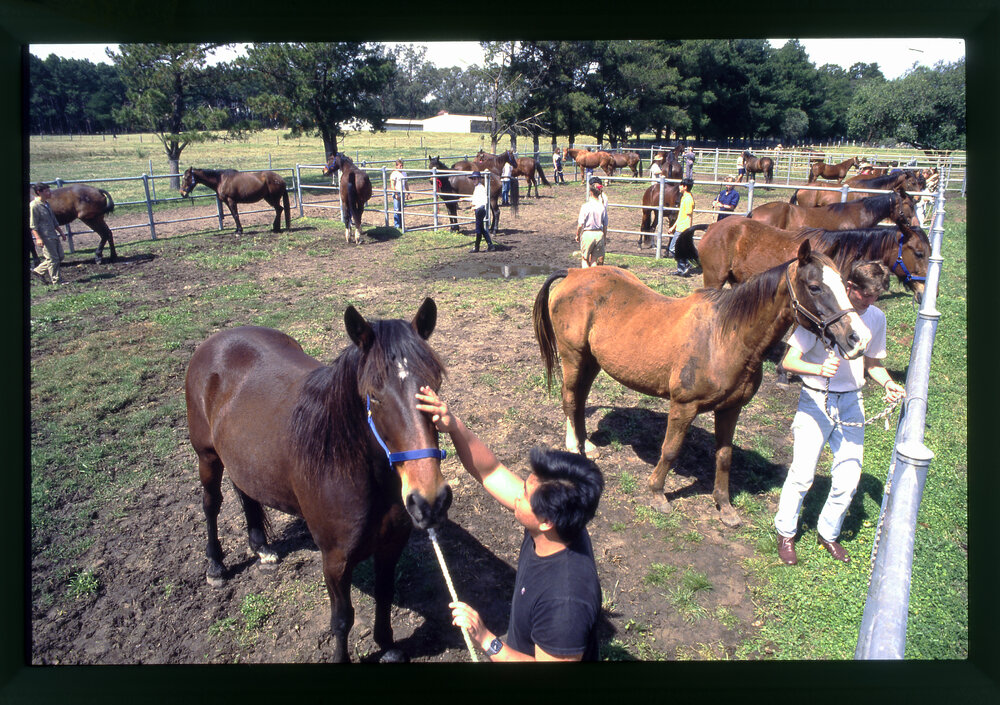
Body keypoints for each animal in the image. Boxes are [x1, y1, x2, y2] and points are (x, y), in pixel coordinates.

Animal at [185, 299, 450, 663]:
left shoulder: (391, 544)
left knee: (246, 492)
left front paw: (388, 647)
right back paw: (215, 566)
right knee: (211, 505)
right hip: (207, 457)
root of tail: (217, 341)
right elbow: (342, 619)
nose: (430, 499)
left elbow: (384, 594)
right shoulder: (335, 560)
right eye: (374, 396)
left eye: (434, 386)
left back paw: (261, 547)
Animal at [532, 242, 868, 527]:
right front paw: (657, 494)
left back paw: (587, 445)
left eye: (845, 285)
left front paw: (725, 507)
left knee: (580, 399)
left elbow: (724, 457)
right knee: (570, 398)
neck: (725, 336)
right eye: (815, 287)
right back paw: (574, 447)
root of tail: (574, 274)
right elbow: (670, 450)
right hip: (573, 356)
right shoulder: (683, 406)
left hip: (592, 361)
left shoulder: (731, 409)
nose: (859, 339)